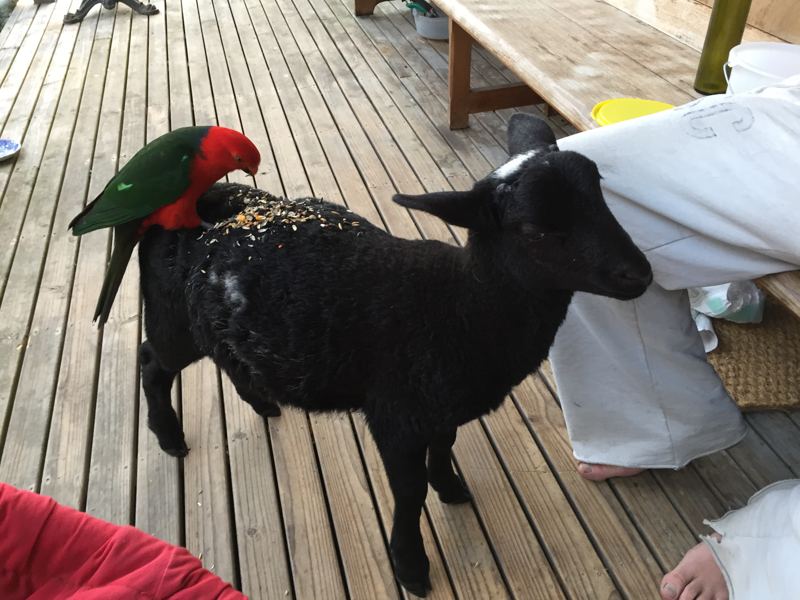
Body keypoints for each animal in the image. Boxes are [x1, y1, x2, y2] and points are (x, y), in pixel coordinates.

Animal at [137, 114, 652, 596]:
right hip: (171, 318)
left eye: (600, 192)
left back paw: (261, 400)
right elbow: (409, 492)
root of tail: (196, 200)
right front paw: (410, 564)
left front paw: (451, 488)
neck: (463, 308)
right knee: (151, 361)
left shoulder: (441, 407)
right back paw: (168, 436)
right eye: (534, 230)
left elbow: (444, 448)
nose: (639, 275)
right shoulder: (396, 417)